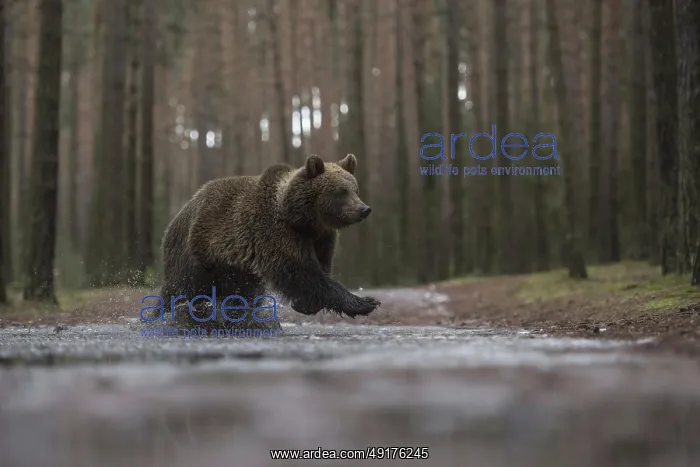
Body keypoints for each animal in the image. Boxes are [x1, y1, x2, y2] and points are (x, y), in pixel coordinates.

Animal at [157, 153, 381, 326]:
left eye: (355, 189)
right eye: (341, 192)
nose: (364, 209)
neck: (303, 218)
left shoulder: (322, 238)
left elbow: (320, 268)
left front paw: (305, 305)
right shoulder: (276, 232)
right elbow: (300, 271)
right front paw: (365, 302)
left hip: (234, 269)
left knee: (240, 291)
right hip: (196, 251)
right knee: (181, 286)